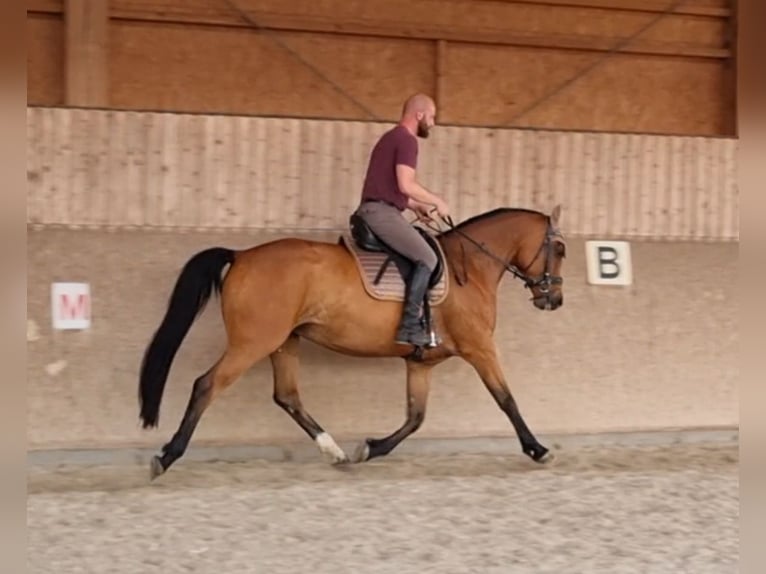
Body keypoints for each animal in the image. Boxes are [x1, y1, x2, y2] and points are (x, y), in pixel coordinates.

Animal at [140, 206, 564, 482]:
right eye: (559, 250)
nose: (554, 300)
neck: (470, 268)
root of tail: (241, 255)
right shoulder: (479, 349)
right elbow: (506, 399)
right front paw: (538, 449)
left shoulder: (420, 363)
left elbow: (415, 417)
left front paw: (371, 448)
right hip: (253, 342)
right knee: (207, 385)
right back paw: (167, 456)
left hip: (283, 343)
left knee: (287, 396)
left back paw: (336, 452)